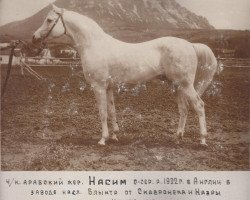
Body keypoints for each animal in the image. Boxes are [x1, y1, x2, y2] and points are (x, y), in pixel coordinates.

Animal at [32, 4, 219, 145]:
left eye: (49, 20)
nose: (34, 37)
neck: (94, 44)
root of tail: (190, 45)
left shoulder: (98, 86)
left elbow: (102, 112)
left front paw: (103, 139)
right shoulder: (108, 87)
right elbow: (112, 110)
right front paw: (114, 135)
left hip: (185, 84)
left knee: (199, 105)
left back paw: (202, 140)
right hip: (176, 85)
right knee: (184, 108)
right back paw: (177, 137)